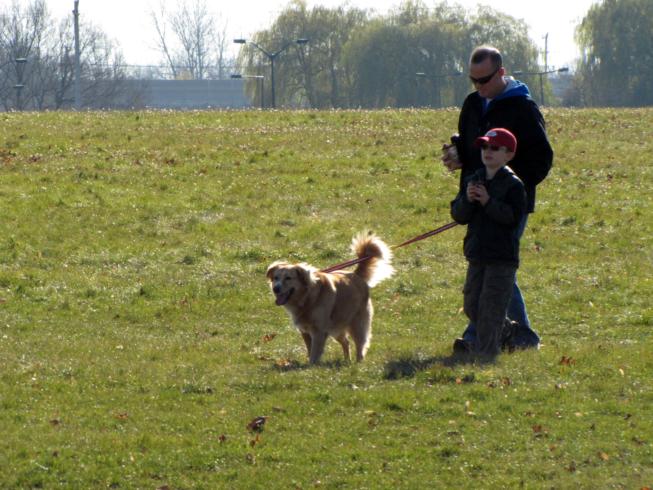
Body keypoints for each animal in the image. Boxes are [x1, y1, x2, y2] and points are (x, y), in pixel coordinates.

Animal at [266, 232, 394, 364]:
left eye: (288, 278)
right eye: (275, 278)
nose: (276, 288)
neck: (307, 297)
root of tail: (355, 274)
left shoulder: (319, 331)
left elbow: (314, 352)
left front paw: (312, 365)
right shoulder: (305, 331)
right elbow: (309, 349)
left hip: (357, 323)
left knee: (360, 344)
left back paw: (359, 362)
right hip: (336, 326)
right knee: (346, 342)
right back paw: (347, 361)